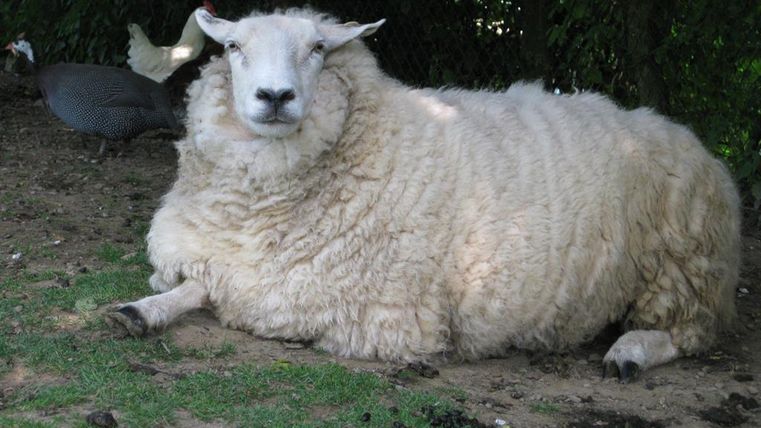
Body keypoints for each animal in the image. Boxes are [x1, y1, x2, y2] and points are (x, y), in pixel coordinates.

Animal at [107, 8, 741, 383]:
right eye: (234, 46)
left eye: (317, 49)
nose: (275, 96)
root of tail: (679, 132)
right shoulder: (222, 262)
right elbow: (194, 286)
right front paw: (140, 311)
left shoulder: (358, 312)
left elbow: (224, 298)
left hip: (682, 262)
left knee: (691, 332)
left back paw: (629, 353)